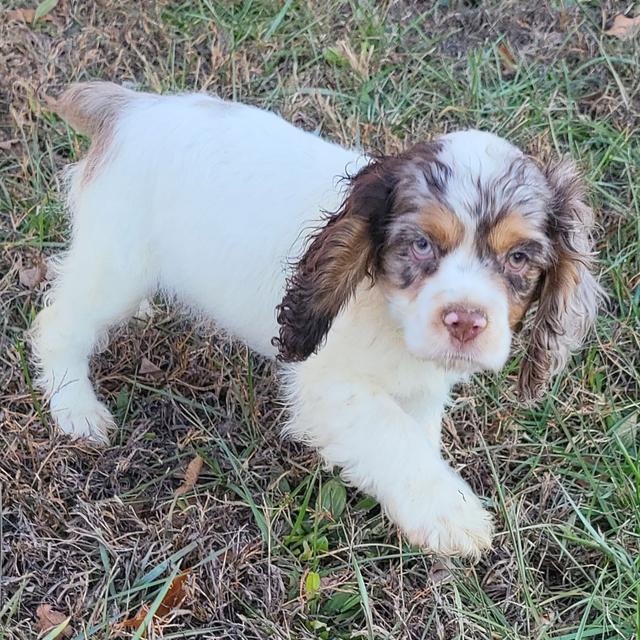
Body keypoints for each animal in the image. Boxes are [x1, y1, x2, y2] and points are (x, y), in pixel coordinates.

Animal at [30, 82, 600, 556]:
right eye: (420, 245)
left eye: (519, 258)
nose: (465, 321)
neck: (389, 313)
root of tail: (129, 109)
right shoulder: (329, 386)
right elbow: (395, 440)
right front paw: (451, 517)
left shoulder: (421, 386)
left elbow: (416, 439)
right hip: (116, 265)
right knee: (56, 324)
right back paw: (76, 409)